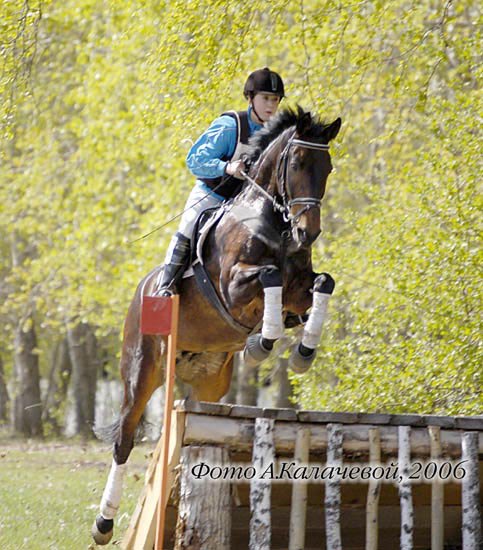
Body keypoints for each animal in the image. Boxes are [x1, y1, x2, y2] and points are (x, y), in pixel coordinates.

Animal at [91, 105, 340, 544]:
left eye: (326, 167)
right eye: (296, 162)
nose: (307, 232)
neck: (272, 223)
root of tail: (141, 292)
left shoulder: (299, 290)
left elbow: (323, 283)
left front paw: (303, 351)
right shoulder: (234, 287)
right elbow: (268, 277)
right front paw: (261, 343)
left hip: (210, 381)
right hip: (141, 370)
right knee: (123, 439)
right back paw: (103, 525)